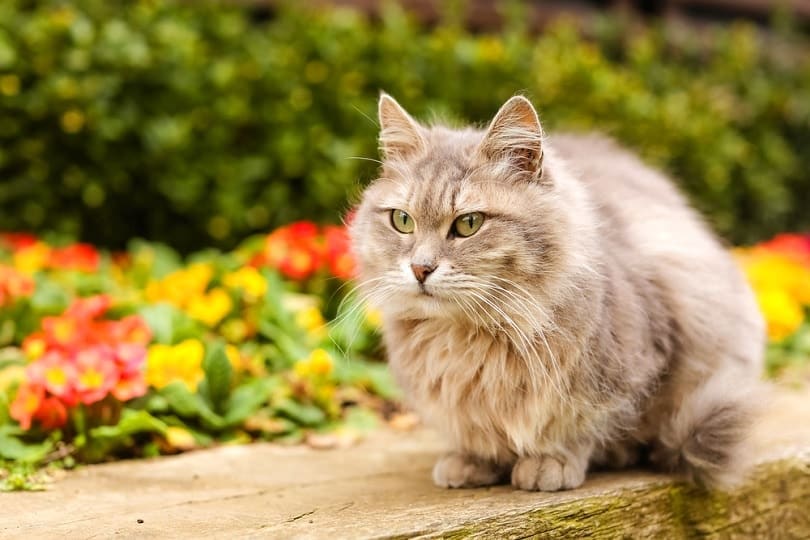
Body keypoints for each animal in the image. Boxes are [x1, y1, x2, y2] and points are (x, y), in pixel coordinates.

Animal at [348, 95, 764, 492]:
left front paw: (550, 463)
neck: (471, 337)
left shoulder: (624, 374)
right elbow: (473, 431)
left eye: (468, 224)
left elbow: (579, 429)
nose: (420, 268)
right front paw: (471, 461)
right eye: (403, 221)